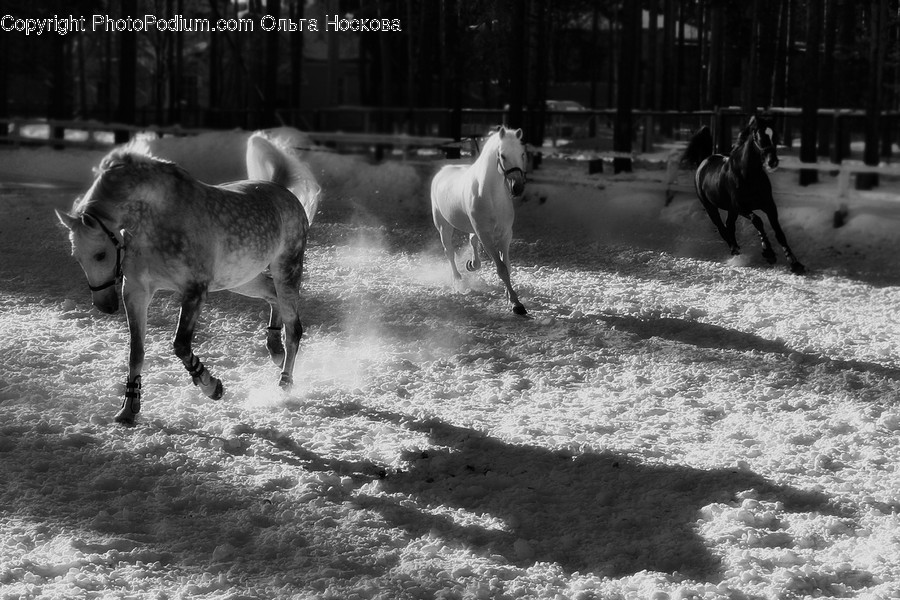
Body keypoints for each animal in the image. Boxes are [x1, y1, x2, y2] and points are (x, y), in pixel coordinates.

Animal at [55, 133, 321, 424]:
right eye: (77, 257)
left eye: (101, 254)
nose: (104, 306)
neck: (155, 219)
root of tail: (281, 191)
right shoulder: (136, 290)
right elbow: (136, 351)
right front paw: (128, 409)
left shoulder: (194, 290)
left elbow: (180, 344)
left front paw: (212, 387)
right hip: (241, 279)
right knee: (273, 297)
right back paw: (275, 350)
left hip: (287, 268)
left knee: (294, 327)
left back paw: (285, 383)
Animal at [430, 126, 529, 315]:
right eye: (502, 155)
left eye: (522, 153)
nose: (518, 187)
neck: (491, 195)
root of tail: (443, 170)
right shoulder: (486, 235)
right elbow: (501, 268)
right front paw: (516, 304)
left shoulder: (506, 234)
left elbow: (507, 265)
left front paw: (510, 295)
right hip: (443, 226)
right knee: (450, 252)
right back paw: (458, 280)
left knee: (472, 241)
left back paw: (472, 264)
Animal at [682, 115, 805, 274]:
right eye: (760, 137)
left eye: (776, 137)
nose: (772, 162)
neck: (749, 176)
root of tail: (703, 162)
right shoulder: (741, 207)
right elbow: (757, 221)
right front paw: (768, 253)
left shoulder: (769, 206)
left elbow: (779, 232)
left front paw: (795, 263)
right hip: (711, 207)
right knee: (722, 228)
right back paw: (735, 251)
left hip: (731, 210)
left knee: (729, 226)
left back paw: (737, 249)